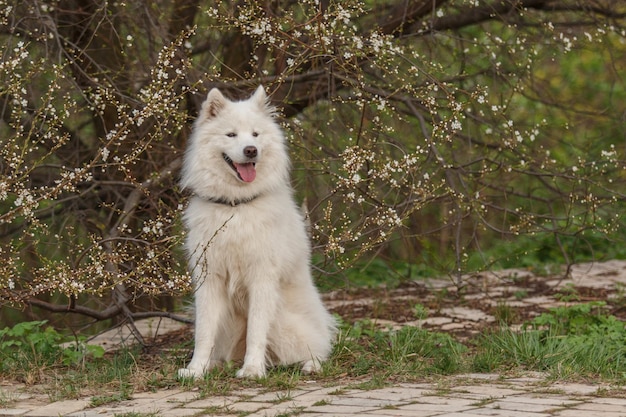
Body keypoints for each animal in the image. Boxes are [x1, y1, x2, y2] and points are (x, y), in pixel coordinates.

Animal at [176, 84, 334, 376]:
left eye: (256, 134)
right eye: (231, 134)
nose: (250, 150)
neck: (236, 206)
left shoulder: (261, 278)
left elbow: (256, 331)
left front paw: (252, 370)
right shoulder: (209, 279)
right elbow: (203, 332)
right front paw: (195, 370)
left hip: (285, 321)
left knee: (317, 348)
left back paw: (309, 365)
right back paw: (216, 364)